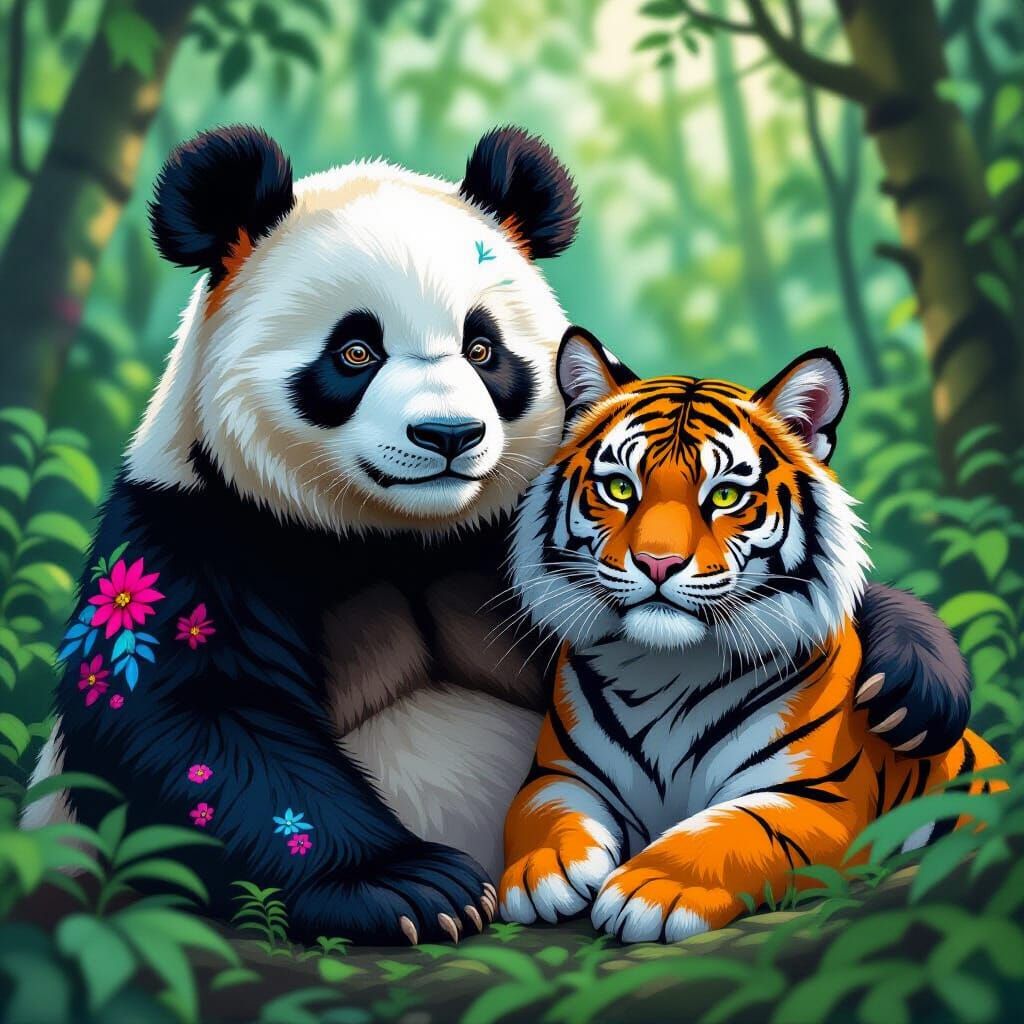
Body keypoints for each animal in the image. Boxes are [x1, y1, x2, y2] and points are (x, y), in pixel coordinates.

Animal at [498, 327, 1005, 944]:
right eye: (619, 487)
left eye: (724, 496)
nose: (657, 562)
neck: (663, 669)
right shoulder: (560, 772)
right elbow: (541, 811)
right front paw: (541, 870)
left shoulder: (813, 796)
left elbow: (730, 830)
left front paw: (652, 887)